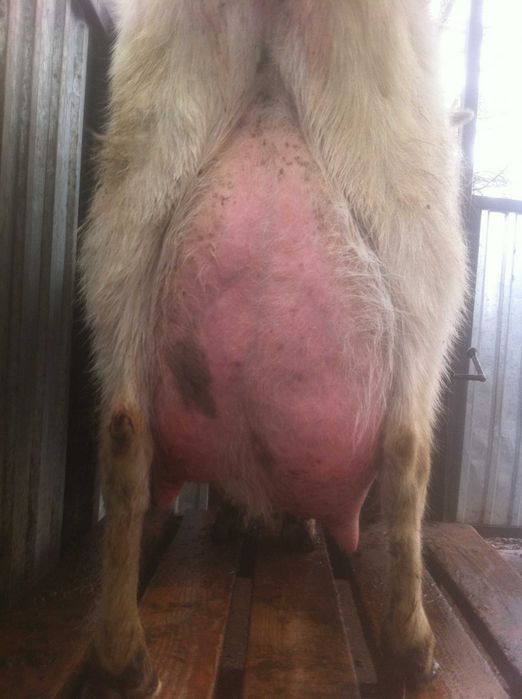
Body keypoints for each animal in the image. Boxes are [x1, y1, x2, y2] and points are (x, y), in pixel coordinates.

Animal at [79, 1, 466, 695]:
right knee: (405, 447)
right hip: (416, 214)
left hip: (129, 202)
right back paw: (411, 645)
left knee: (124, 432)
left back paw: (123, 659)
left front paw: (248, 520)